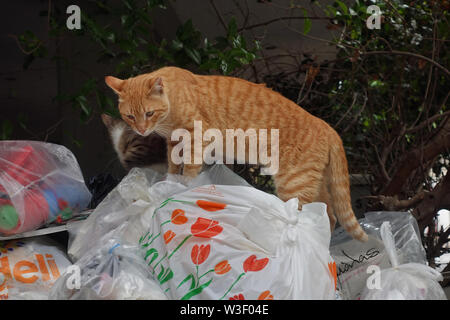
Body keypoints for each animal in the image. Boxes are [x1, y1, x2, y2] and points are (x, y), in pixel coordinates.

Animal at [105, 66, 370, 240]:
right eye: (130, 116)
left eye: (148, 113)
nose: (141, 129)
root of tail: (327, 126)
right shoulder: (173, 143)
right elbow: (172, 167)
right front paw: (167, 183)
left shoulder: (197, 139)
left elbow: (189, 170)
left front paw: (182, 188)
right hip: (316, 185)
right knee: (329, 216)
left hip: (294, 185)